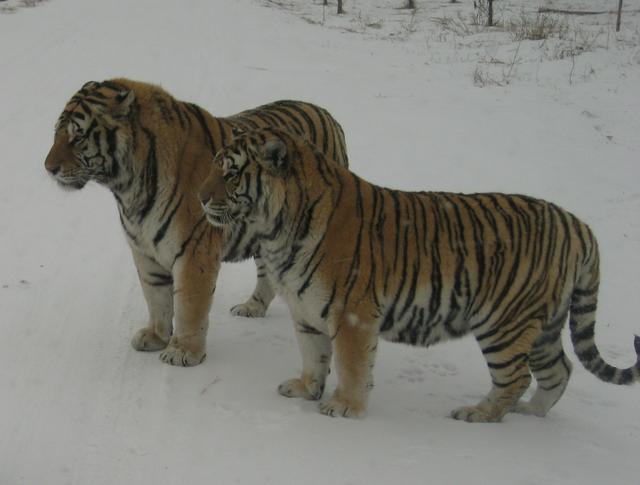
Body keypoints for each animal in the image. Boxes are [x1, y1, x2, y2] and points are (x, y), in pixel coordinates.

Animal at [44, 78, 348, 366]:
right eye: (57, 132)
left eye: (78, 137)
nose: (48, 168)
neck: (128, 187)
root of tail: (327, 114)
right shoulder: (144, 250)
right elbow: (156, 296)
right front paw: (156, 336)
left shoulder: (194, 251)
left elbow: (189, 304)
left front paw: (183, 352)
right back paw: (252, 308)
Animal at [199, 125, 640, 420]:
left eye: (231, 173)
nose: (200, 199)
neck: (277, 229)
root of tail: (578, 224)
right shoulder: (305, 310)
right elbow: (313, 355)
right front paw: (305, 388)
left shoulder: (352, 314)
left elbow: (351, 365)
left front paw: (344, 406)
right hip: (543, 326)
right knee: (558, 371)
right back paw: (531, 413)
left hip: (505, 322)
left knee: (516, 378)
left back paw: (478, 414)